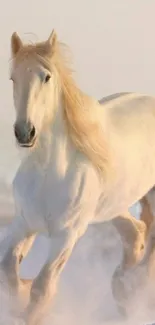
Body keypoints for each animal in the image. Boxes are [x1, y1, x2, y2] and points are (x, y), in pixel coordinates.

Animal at [2, 28, 155, 324]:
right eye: (13, 78)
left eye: (46, 77)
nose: (25, 132)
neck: (49, 173)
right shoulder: (24, 224)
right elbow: (8, 271)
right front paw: (19, 297)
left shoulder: (66, 235)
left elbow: (42, 287)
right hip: (113, 205)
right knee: (135, 233)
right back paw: (123, 291)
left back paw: (134, 290)